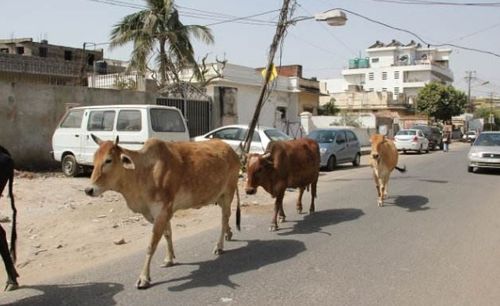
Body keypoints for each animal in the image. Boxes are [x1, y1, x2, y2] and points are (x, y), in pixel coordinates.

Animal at [85, 136, 241, 290]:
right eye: (94, 159)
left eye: (108, 160)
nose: (88, 190)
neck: (144, 172)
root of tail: (232, 151)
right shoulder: (163, 213)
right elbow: (167, 234)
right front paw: (169, 259)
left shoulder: (161, 212)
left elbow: (151, 246)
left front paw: (143, 278)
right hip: (219, 197)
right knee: (226, 219)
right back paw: (229, 233)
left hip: (228, 194)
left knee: (224, 219)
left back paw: (219, 246)